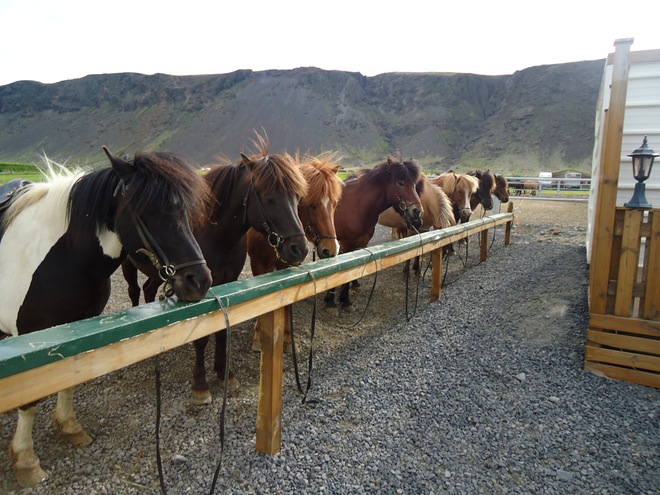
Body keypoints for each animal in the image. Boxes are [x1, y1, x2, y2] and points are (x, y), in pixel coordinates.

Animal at [0, 147, 211, 488]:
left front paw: (70, 426)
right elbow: (29, 402)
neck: (63, 260)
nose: (199, 282)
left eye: (184, 213)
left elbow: (69, 379)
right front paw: (27, 459)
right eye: (147, 211)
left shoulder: (77, 330)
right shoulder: (28, 337)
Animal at [122, 133, 310, 404]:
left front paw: (225, 374)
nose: (299, 249)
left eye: (297, 197)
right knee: (135, 292)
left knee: (148, 288)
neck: (212, 233)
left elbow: (222, 333)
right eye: (268, 197)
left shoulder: (226, 282)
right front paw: (200, 385)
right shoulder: (200, 289)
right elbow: (202, 340)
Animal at [245, 151, 342, 352]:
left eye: (335, 203)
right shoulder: (257, 264)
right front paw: (258, 338)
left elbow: (287, 305)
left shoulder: (290, 266)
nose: (331, 249)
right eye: (312, 205)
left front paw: (289, 339)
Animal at [324, 157, 426, 312]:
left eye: (414, 185)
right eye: (400, 183)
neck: (355, 205)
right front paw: (336, 300)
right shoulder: (345, 245)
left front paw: (351, 290)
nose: (418, 213)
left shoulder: (360, 243)